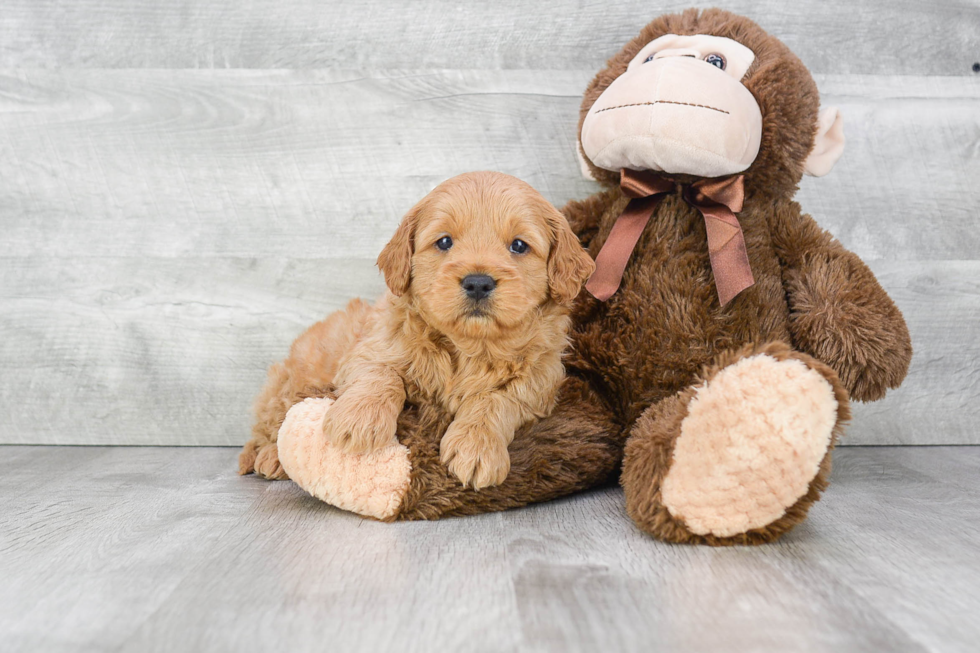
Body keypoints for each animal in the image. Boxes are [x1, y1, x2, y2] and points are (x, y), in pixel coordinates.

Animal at [241, 173, 592, 488]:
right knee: (267, 429)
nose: (478, 282)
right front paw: (358, 419)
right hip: (289, 384)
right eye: (444, 242)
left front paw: (477, 447)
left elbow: (496, 399)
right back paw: (269, 457)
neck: (467, 347)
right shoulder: (369, 349)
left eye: (519, 245)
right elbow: (382, 375)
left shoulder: (539, 382)